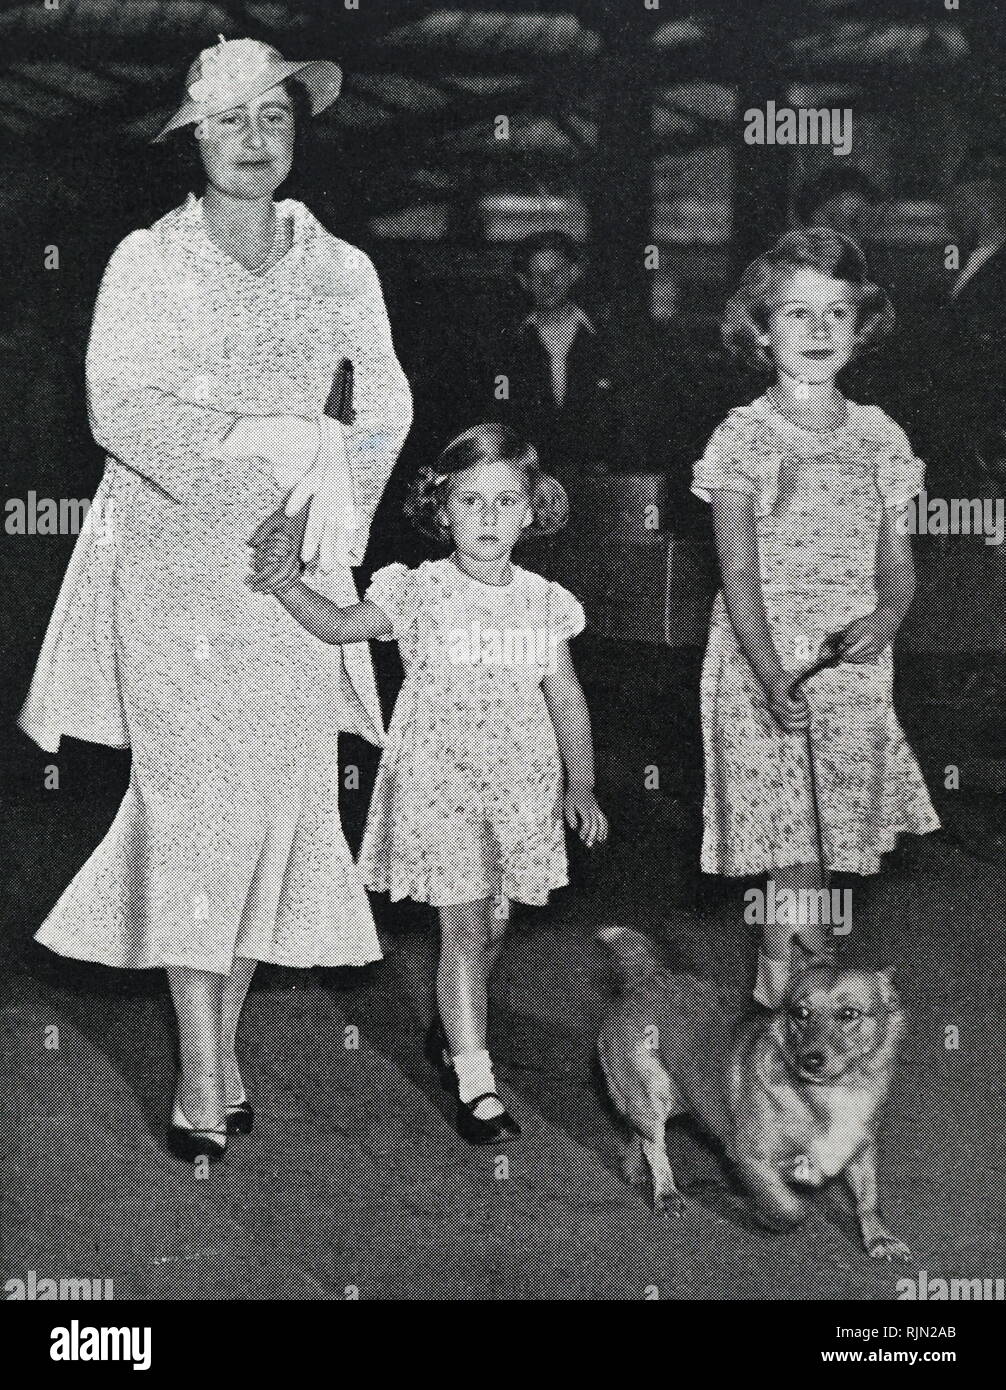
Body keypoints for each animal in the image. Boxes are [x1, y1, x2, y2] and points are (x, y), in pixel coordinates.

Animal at [597, 922, 911, 1262]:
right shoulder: (751, 1155)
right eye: (800, 1012)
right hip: (652, 1097)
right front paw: (770, 1215)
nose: (810, 1061)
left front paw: (880, 1239)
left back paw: (633, 1168)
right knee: (655, 1147)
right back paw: (666, 1193)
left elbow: (869, 1200)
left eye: (850, 1014)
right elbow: (789, 1206)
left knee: (635, 1135)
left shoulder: (861, 1151)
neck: (833, 1093)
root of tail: (648, 978)